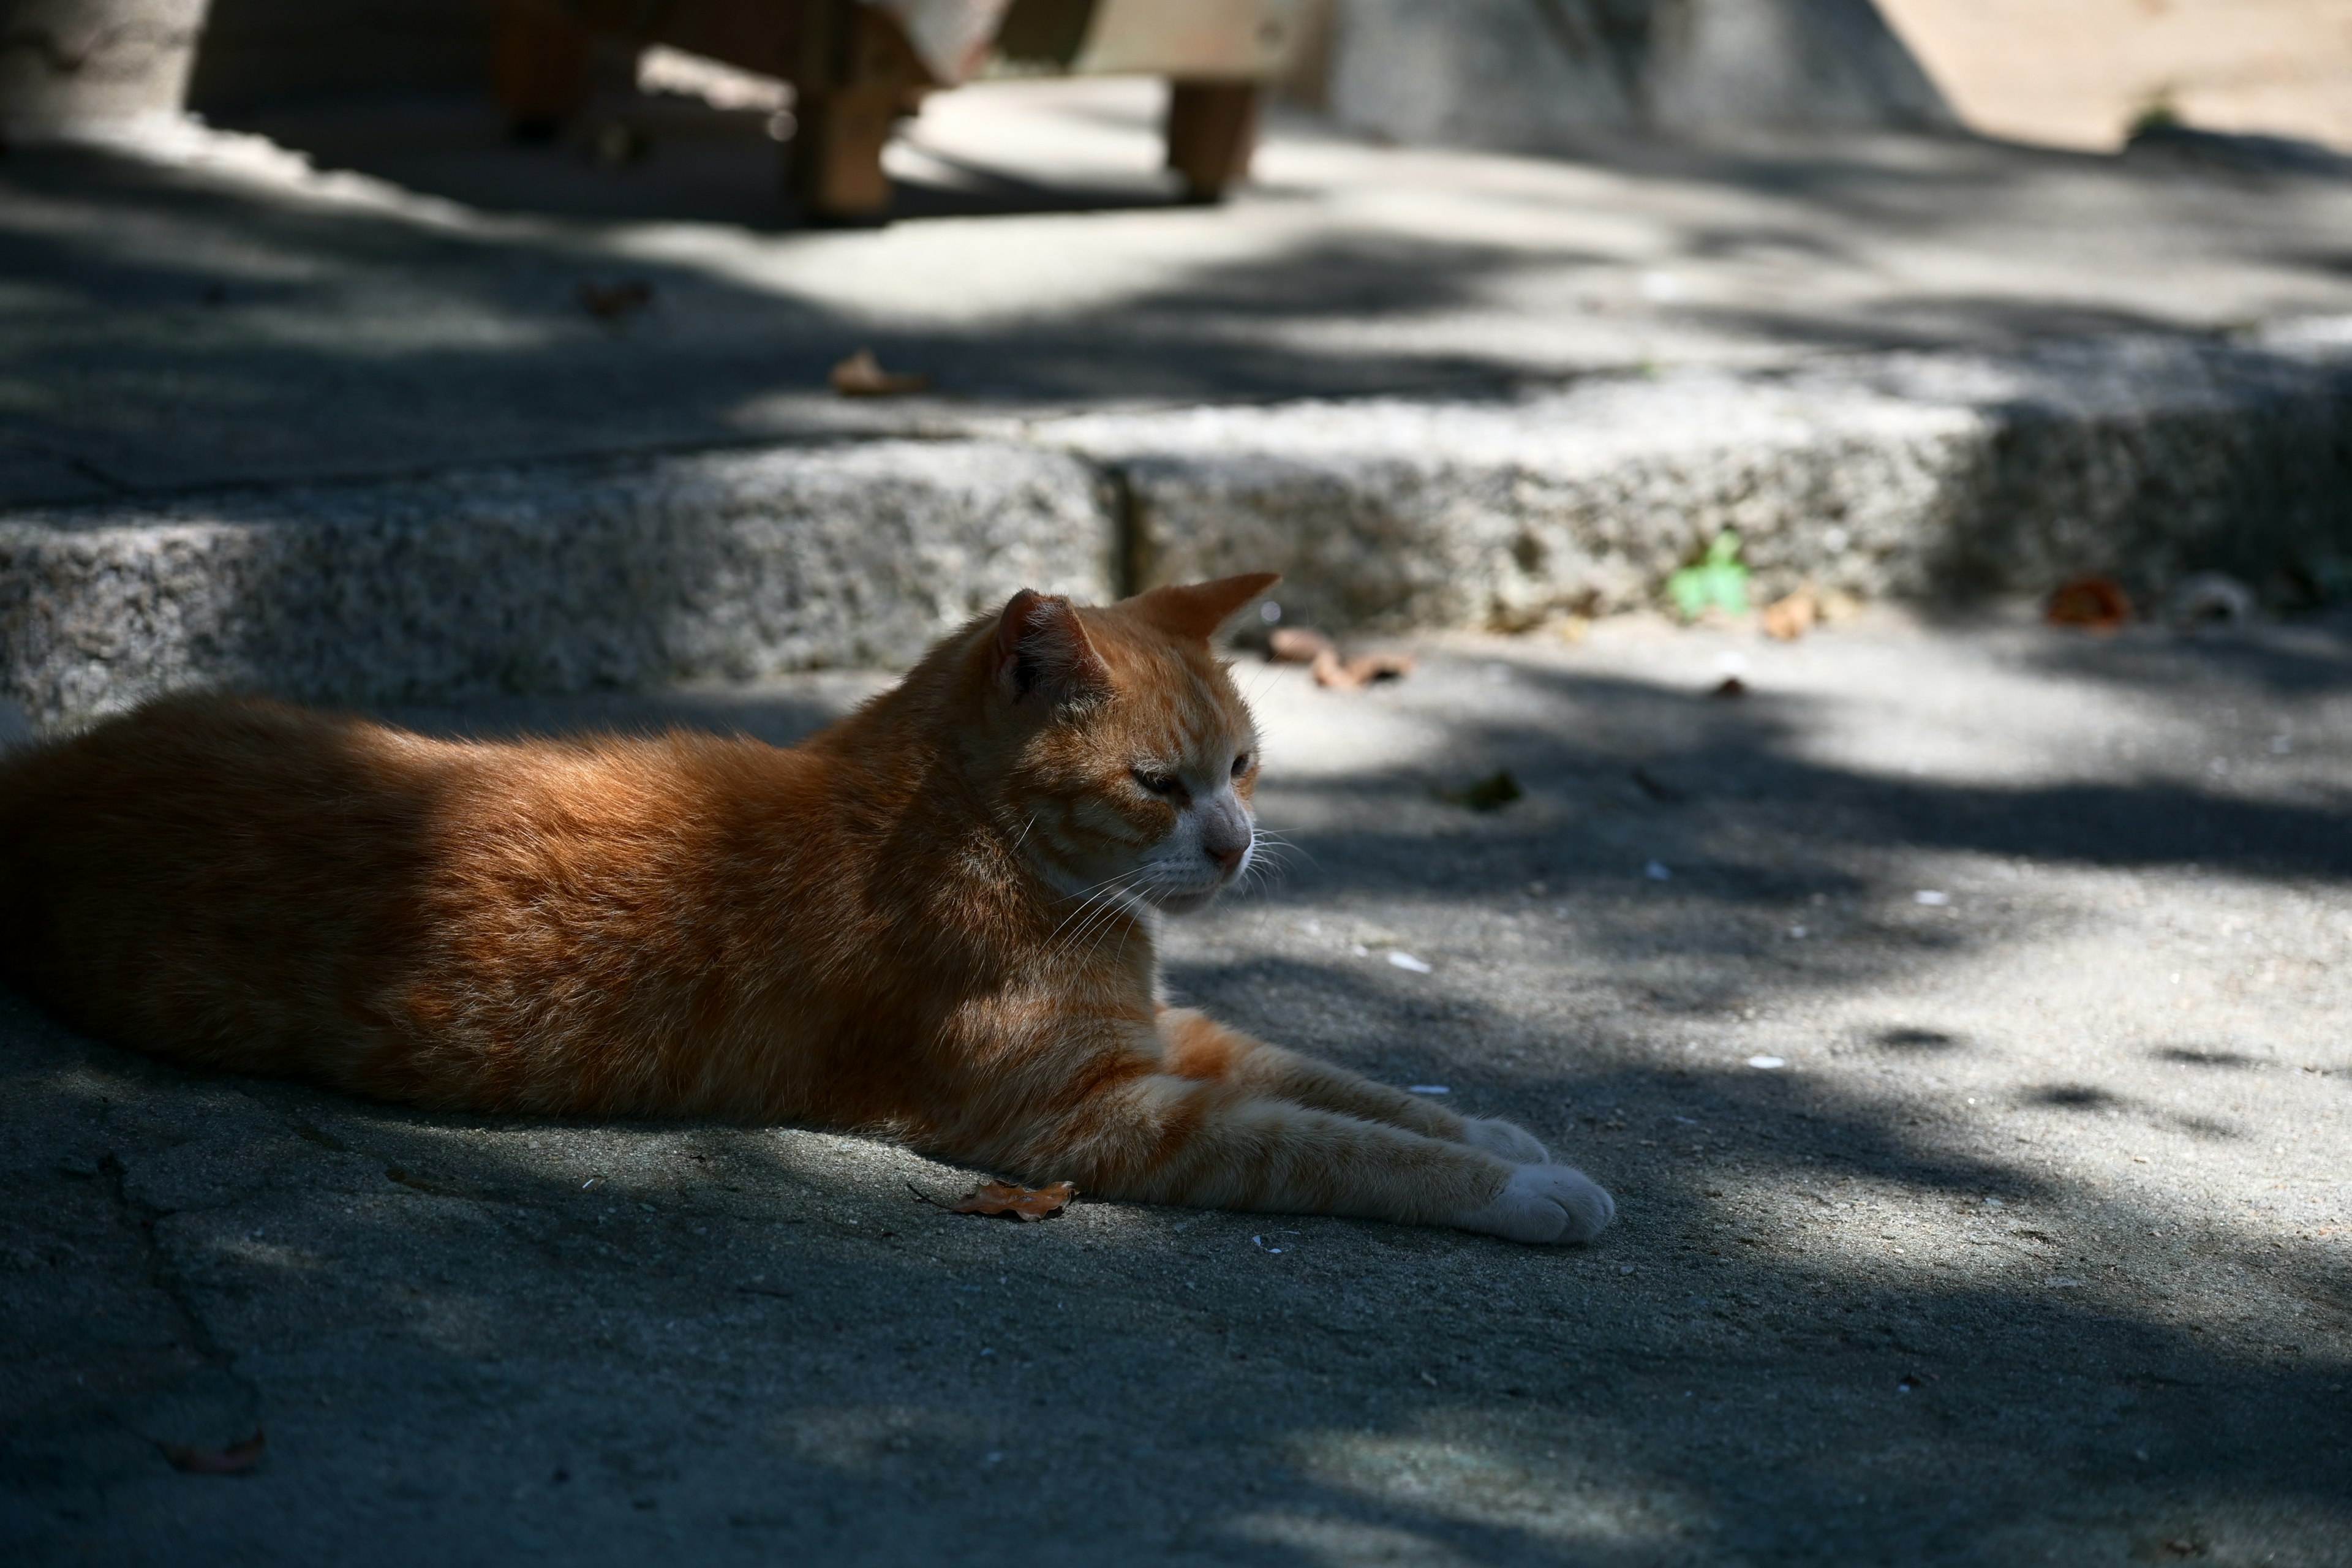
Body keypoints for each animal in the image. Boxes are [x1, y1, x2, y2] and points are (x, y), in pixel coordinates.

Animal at [0, 571, 1608, 1241]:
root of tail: (50, 775)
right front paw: (1527, 1189)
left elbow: (1343, 1078)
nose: (1232, 843)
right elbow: (1331, 1142)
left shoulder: (1166, 1036)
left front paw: (1501, 1128)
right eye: (1160, 782)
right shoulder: (1089, 1115)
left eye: (1249, 763)